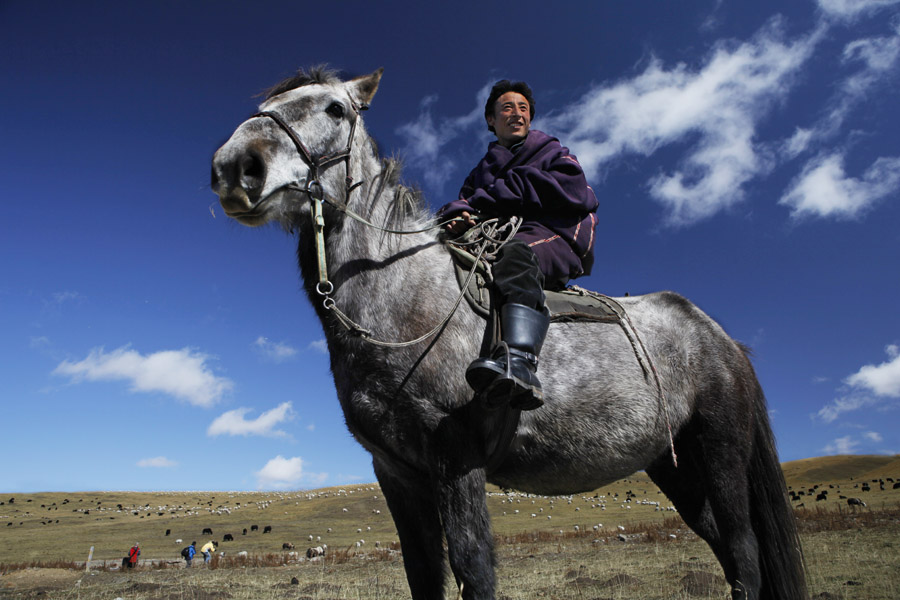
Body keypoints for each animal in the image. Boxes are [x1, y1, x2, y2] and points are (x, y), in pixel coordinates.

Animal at [210, 67, 806, 600]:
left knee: (744, 552)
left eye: (335, 109)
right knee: (726, 550)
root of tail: (721, 339)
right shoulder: (396, 474)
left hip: (721, 449)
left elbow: (474, 569)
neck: (399, 294)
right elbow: (423, 576)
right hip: (675, 466)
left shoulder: (457, 456)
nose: (235, 167)